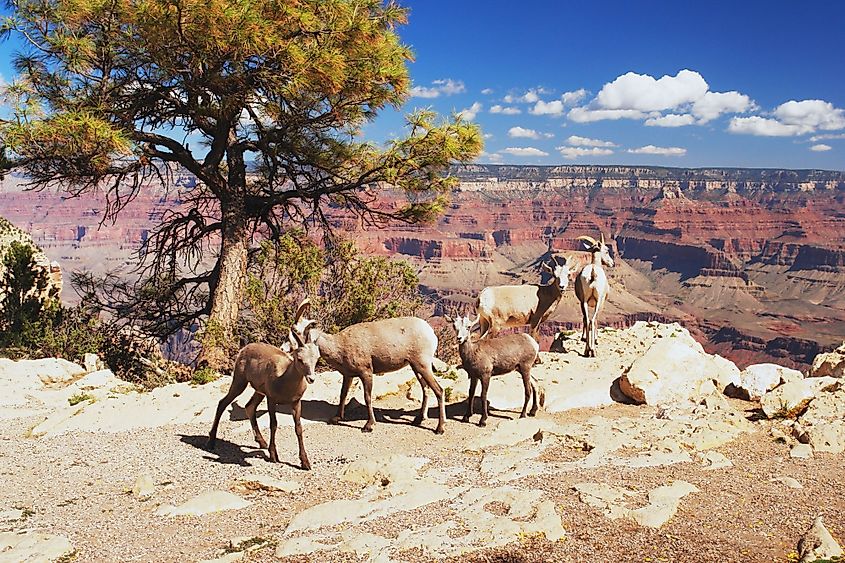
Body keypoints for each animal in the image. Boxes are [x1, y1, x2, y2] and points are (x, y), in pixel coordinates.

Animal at [206, 316, 320, 470]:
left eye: (316, 358)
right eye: (300, 359)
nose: (311, 378)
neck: (284, 378)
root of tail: (244, 348)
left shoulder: (296, 402)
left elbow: (298, 428)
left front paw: (305, 462)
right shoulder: (271, 399)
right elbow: (274, 424)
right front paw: (274, 455)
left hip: (259, 392)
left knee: (249, 407)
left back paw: (262, 442)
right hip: (239, 382)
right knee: (222, 403)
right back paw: (211, 442)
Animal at [293, 305, 446, 434]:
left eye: (296, 331)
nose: (310, 378)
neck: (340, 346)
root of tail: (431, 332)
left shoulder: (366, 373)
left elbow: (367, 397)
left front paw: (368, 425)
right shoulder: (348, 375)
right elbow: (343, 395)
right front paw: (336, 418)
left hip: (422, 365)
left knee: (439, 390)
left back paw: (439, 428)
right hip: (416, 367)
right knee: (425, 389)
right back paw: (418, 420)